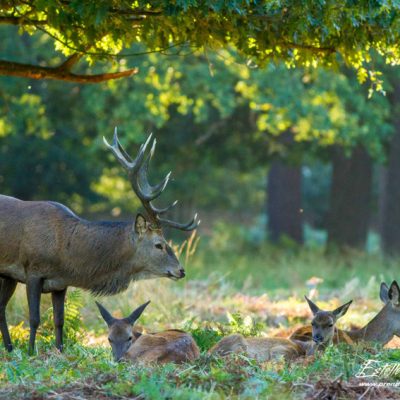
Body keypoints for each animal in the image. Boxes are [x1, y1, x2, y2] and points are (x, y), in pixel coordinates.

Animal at [0, 131, 200, 354]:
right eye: (159, 244)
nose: (181, 270)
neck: (65, 254)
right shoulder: (33, 271)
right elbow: (34, 318)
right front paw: (30, 353)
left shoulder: (60, 283)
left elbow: (59, 321)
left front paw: (60, 351)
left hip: (7, 276)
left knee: (0, 308)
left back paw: (8, 347)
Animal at [209, 298, 350, 360]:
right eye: (312, 323)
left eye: (330, 324)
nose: (317, 337)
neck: (307, 350)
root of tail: (209, 352)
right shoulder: (281, 350)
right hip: (236, 340)